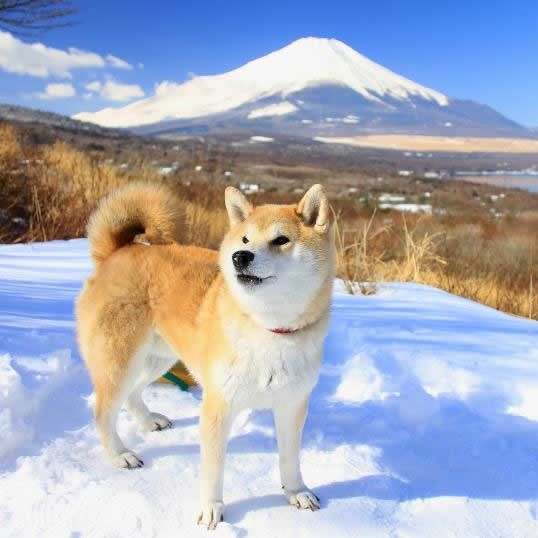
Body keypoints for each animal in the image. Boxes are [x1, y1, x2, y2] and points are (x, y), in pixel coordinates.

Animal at [75, 182, 336, 524]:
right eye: (245, 239)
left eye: (281, 240)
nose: (240, 256)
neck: (269, 329)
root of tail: (117, 252)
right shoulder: (218, 406)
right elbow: (214, 470)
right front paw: (212, 510)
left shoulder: (291, 406)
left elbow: (290, 460)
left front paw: (296, 493)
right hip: (121, 362)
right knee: (103, 412)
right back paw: (121, 455)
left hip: (157, 359)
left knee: (133, 394)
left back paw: (149, 421)